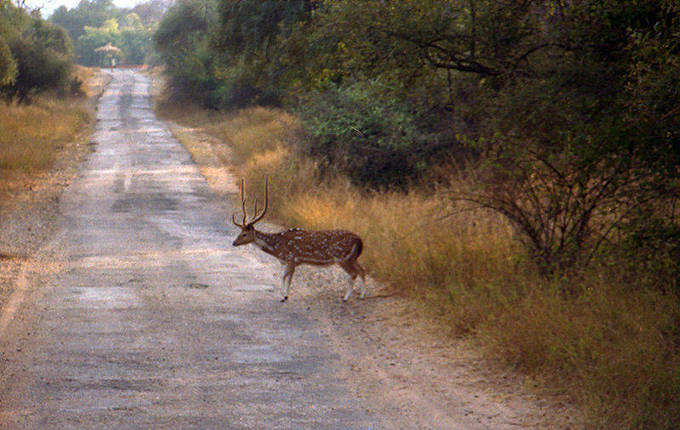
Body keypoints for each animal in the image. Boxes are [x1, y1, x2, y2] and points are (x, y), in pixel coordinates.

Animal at [231, 178, 364, 302]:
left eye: (244, 234)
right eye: (240, 232)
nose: (234, 243)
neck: (277, 247)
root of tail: (359, 240)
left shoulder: (292, 259)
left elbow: (286, 278)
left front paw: (285, 296)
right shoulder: (291, 261)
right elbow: (285, 277)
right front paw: (284, 295)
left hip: (342, 257)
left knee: (354, 273)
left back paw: (346, 298)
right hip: (351, 258)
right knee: (362, 270)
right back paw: (361, 295)